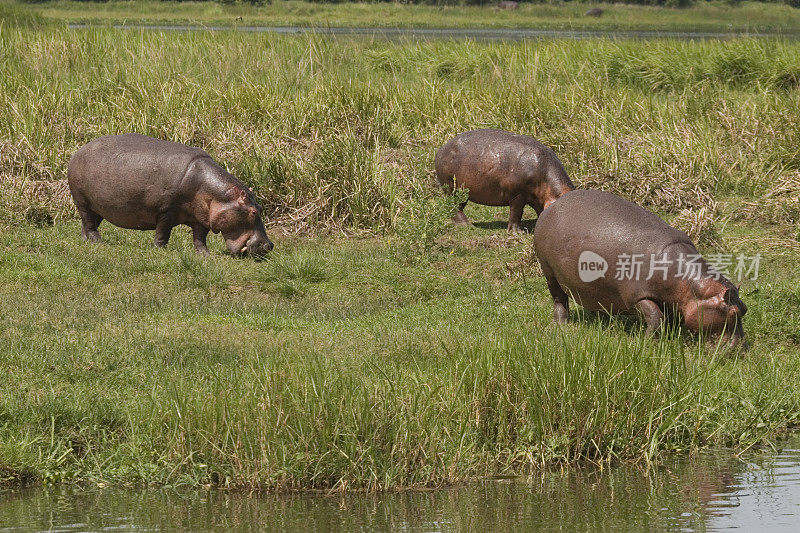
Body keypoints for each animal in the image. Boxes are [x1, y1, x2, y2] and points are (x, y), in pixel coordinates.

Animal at [66, 134, 272, 256]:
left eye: (261, 208)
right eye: (253, 212)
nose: (269, 246)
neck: (217, 195)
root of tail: (78, 151)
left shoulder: (202, 218)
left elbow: (200, 238)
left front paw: (205, 255)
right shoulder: (166, 211)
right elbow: (163, 232)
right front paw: (159, 250)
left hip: (98, 206)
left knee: (90, 223)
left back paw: (86, 240)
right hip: (82, 201)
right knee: (88, 221)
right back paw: (98, 242)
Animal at [432, 130, 576, 232]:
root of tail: (441, 148)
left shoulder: (537, 197)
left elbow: (539, 211)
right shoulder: (517, 194)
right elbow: (516, 212)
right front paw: (518, 232)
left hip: (463, 191)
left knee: (458, 206)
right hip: (451, 188)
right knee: (454, 206)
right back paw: (466, 225)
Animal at [536, 190, 748, 350]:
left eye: (745, 309)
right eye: (733, 313)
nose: (740, 349)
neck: (689, 284)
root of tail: (552, 205)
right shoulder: (637, 297)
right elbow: (656, 318)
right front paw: (648, 345)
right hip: (548, 270)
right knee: (559, 297)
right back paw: (561, 324)